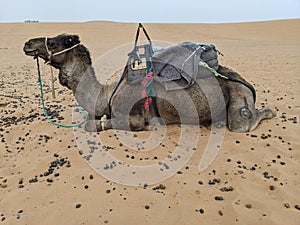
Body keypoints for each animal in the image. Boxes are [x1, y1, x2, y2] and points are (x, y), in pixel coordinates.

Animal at [23, 33, 276, 132]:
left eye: (54, 42)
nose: (27, 43)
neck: (106, 93)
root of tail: (244, 82)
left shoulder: (133, 118)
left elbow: (93, 125)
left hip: (238, 101)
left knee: (245, 120)